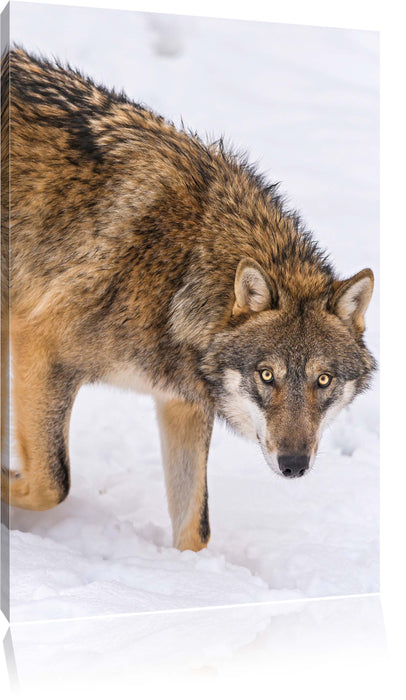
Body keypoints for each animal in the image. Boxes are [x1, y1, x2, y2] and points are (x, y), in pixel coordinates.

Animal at [1, 48, 376, 552]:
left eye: (323, 380)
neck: (179, 276)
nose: (294, 465)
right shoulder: (41, 348)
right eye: (267, 375)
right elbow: (51, 483)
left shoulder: (182, 403)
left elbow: (195, 527)